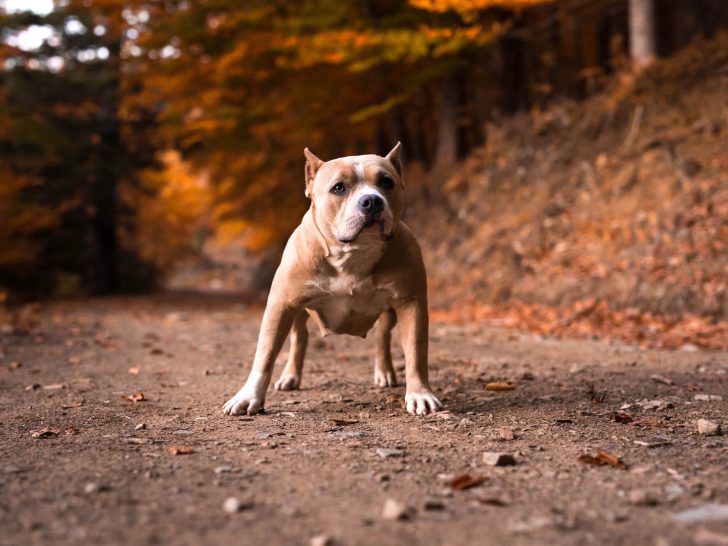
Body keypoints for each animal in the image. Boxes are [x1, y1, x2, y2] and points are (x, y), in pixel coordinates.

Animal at [222, 142, 440, 414]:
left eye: (386, 182)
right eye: (339, 188)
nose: (372, 200)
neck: (352, 254)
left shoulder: (411, 303)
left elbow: (416, 352)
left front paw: (420, 393)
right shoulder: (281, 304)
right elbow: (265, 354)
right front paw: (248, 396)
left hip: (390, 311)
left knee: (383, 336)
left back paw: (384, 372)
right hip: (297, 312)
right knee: (300, 338)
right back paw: (290, 376)